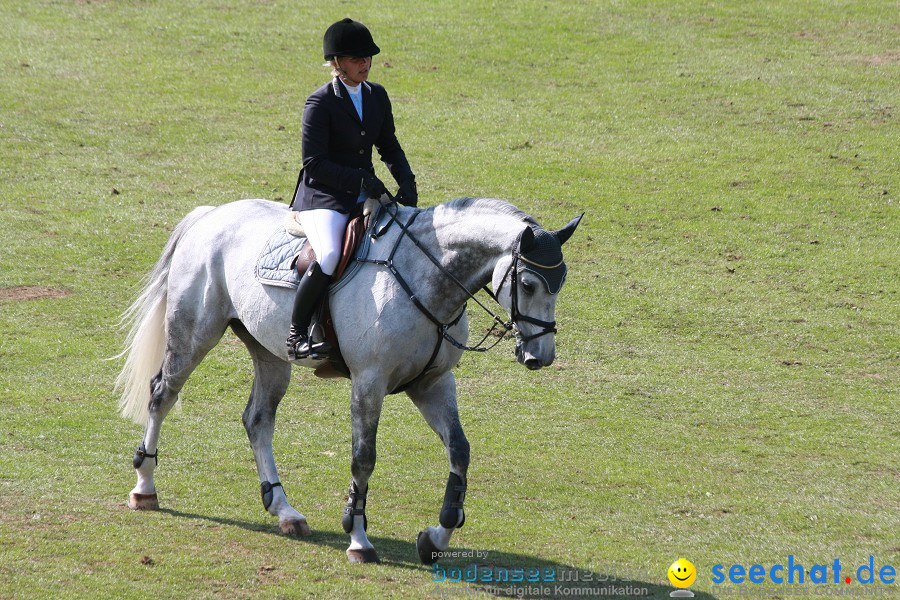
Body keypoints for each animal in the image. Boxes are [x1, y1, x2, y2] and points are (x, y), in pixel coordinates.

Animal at [116, 196, 584, 564]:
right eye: (528, 283)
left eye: (560, 283)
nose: (540, 357)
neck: (424, 278)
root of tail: (211, 215)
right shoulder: (368, 382)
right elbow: (364, 458)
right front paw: (359, 539)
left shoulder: (433, 383)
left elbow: (460, 451)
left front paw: (436, 536)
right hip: (193, 335)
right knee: (162, 396)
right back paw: (145, 489)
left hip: (270, 354)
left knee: (257, 419)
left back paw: (285, 510)